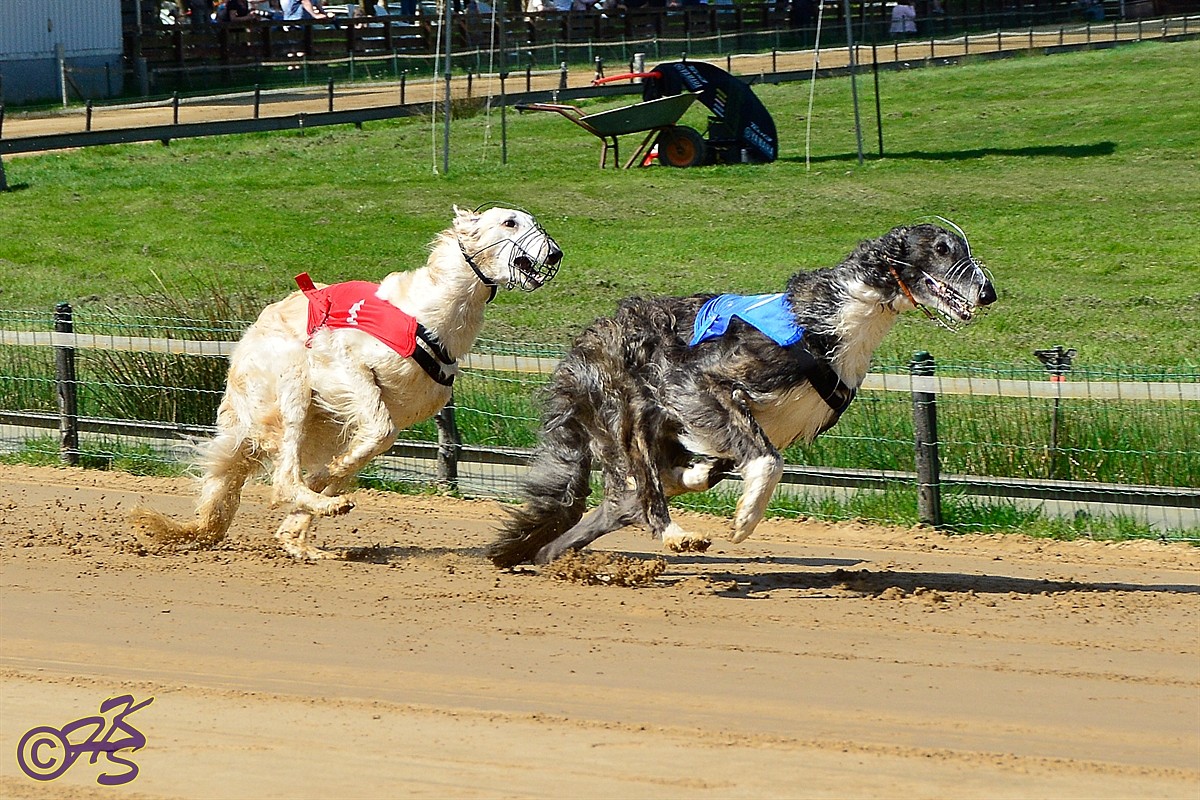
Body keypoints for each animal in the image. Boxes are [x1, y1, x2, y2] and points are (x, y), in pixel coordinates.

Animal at [132, 205, 562, 559]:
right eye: (510, 222)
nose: (556, 253)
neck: (429, 318)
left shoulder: (403, 410)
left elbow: (373, 443)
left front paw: (319, 492)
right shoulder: (343, 364)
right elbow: (377, 430)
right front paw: (325, 479)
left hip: (320, 422)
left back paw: (300, 537)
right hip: (290, 383)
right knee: (284, 478)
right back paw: (321, 503)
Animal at [487, 222, 995, 567]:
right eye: (943, 248)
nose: (988, 293)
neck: (837, 318)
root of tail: (585, 343)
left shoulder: (757, 422)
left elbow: (737, 460)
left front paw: (710, 481)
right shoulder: (702, 383)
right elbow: (769, 462)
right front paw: (746, 519)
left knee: (621, 501)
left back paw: (545, 554)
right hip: (625, 408)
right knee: (644, 490)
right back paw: (674, 534)